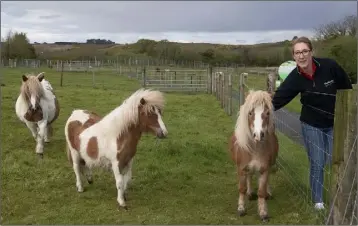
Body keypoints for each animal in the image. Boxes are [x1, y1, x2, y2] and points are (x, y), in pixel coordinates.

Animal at [229, 89, 280, 222]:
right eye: (250, 113)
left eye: (267, 113)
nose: (258, 135)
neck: (255, 148)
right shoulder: (241, 168)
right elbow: (241, 188)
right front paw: (241, 208)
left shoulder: (264, 169)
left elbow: (261, 191)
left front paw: (263, 213)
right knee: (249, 176)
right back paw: (250, 192)